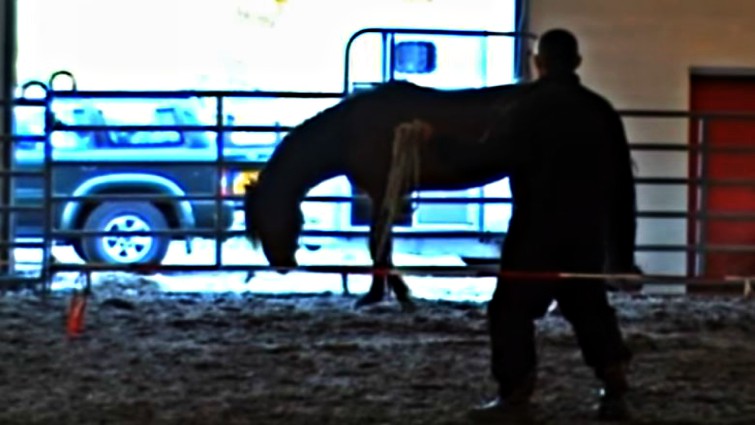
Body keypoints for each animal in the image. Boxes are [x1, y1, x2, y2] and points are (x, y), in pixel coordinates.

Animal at [244, 80, 529, 310]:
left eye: (266, 215)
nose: (282, 264)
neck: (348, 131)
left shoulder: (382, 192)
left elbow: (377, 241)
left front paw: (384, 295)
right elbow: (383, 243)